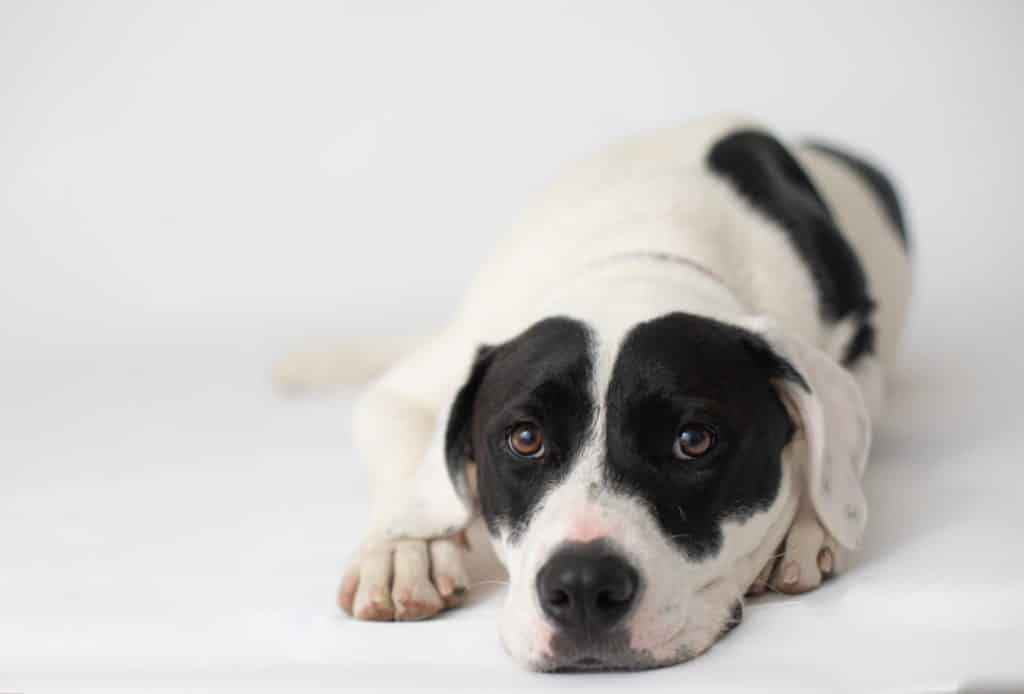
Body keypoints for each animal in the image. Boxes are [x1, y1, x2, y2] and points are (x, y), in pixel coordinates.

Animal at [278, 115, 913, 675]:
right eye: (524, 438)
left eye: (694, 440)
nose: (584, 586)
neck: (642, 251)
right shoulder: (407, 388)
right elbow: (412, 463)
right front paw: (403, 549)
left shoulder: (856, 357)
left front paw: (809, 525)